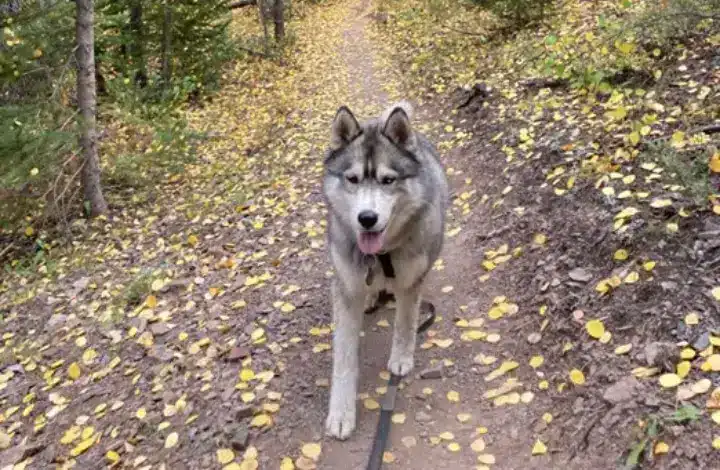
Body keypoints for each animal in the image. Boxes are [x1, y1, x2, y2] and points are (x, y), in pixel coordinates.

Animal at [322, 101, 448, 438]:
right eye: (352, 179)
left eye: (388, 180)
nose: (367, 218)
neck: (380, 257)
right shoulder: (346, 289)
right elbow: (344, 358)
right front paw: (341, 412)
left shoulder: (410, 282)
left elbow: (405, 324)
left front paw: (401, 358)